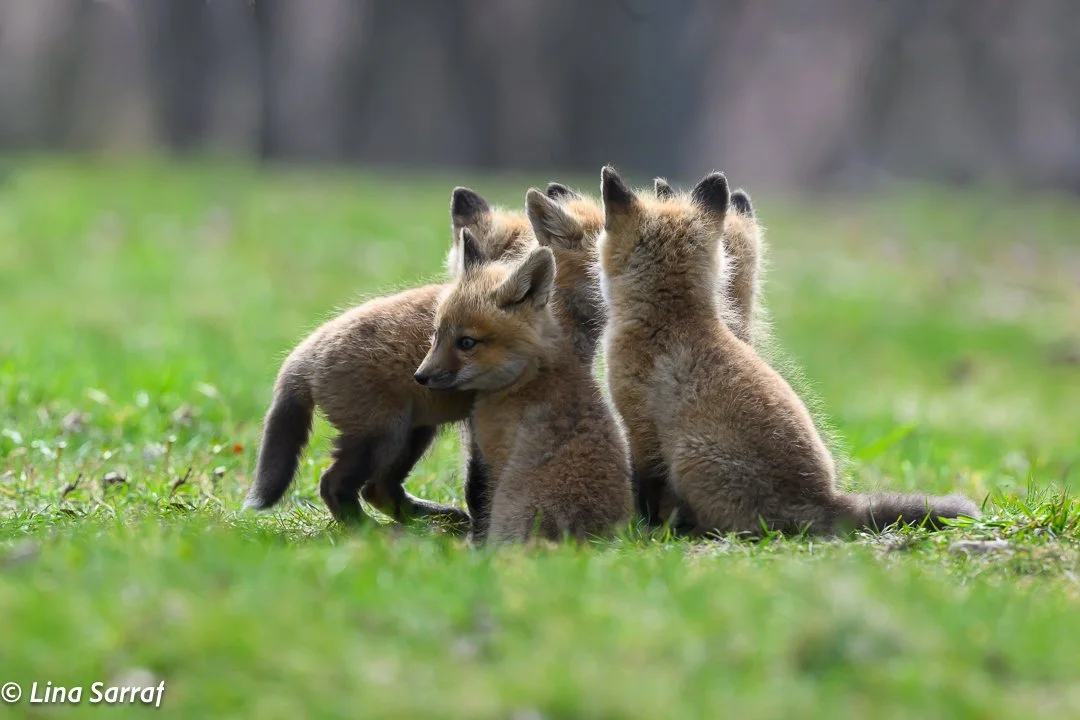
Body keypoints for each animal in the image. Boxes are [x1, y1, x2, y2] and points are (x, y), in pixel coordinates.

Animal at [244, 187, 536, 528]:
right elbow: (482, 485)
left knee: (379, 490)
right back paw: (369, 531)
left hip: (413, 432)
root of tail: (301, 356)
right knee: (336, 484)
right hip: (384, 436)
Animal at [414, 224, 634, 545]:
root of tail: (587, 540)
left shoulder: (495, 458)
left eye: (466, 343)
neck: (527, 378)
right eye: (436, 335)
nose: (420, 377)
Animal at [598, 166, 979, 536]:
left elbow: (647, 488)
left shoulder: (641, 426)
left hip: (691, 458)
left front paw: (644, 530)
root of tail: (824, 500)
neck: (672, 321)